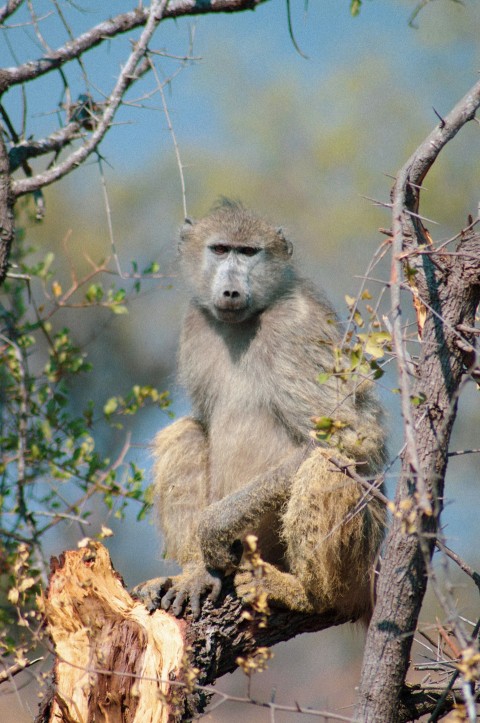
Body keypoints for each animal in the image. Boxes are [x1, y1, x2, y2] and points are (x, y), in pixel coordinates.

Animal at [137, 199, 387, 624]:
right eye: (220, 249)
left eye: (249, 252)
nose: (231, 291)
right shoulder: (195, 323)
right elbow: (200, 427)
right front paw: (198, 564)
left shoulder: (295, 331)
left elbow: (351, 437)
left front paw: (212, 528)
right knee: (185, 433)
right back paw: (195, 573)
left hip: (358, 563)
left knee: (327, 463)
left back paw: (305, 595)